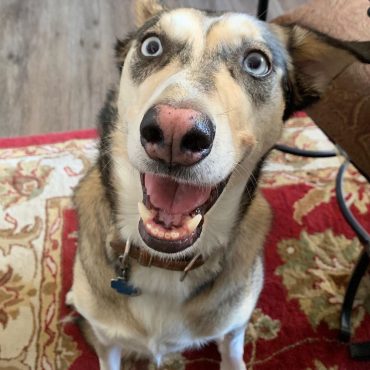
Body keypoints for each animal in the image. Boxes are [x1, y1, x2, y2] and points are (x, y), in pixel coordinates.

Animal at [67, 1, 370, 368]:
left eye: (256, 63)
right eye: (151, 46)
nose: (174, 130)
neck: (166, 264)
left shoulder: (234, 326)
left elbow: (234, 352)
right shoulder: (107, 339)